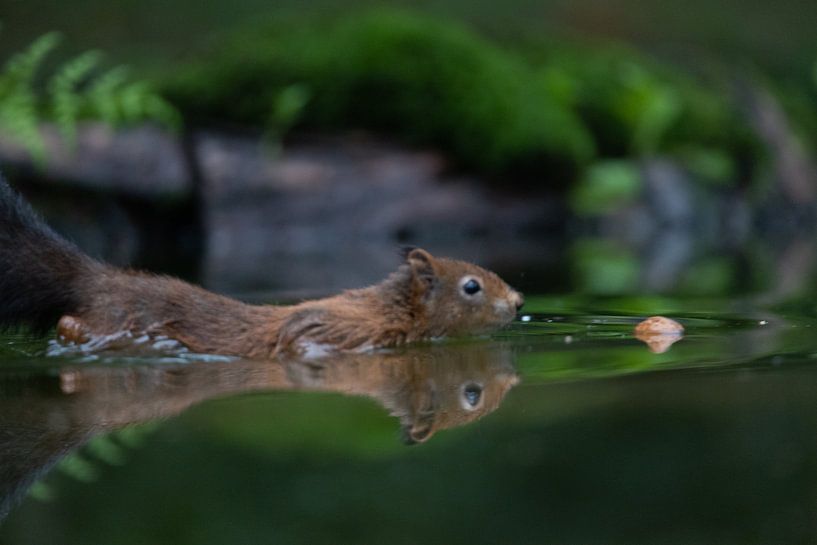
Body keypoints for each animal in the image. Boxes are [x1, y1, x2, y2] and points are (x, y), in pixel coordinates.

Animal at [0, 175, 524, 358]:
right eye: (472, 286)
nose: (518, 301)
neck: (384, 310)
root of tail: (94, 277)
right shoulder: (336, 333)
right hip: (112, 314)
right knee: (69, 323)